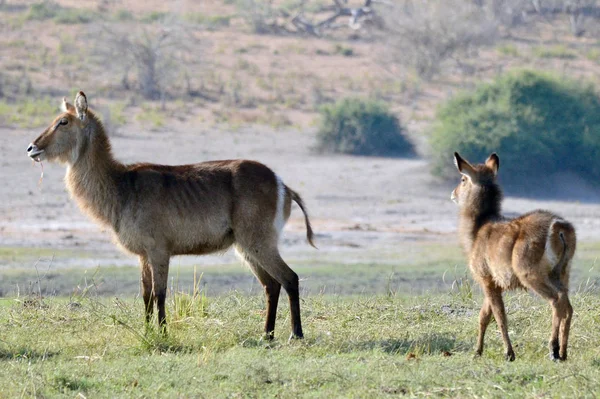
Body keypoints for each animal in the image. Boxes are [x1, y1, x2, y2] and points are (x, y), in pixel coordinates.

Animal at [25, 91, 316, 340]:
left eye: (62, 121)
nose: (31, 148)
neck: (121, 185)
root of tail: (282, 184)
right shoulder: (143, 254)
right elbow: (145, 295)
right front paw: (146, 331)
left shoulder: (159, 250)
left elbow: (160, 294)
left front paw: (163, 333)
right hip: (245, 246)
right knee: (271, 285)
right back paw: (266, 335)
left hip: (259, 241)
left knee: (290, 278)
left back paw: (295, 334)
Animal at [450, 153, 576, 362]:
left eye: (462, 179)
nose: (452, 194)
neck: (478, 229)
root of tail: (559, 227)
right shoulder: (495, 282)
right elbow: (484, 316)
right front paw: (477, 351)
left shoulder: (486, 279)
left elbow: (500, 315)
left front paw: (508, 353)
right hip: (562, 273)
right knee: (568, 305)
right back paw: (564, 352)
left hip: (531, 275)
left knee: (557, 300)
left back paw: (553, 349)